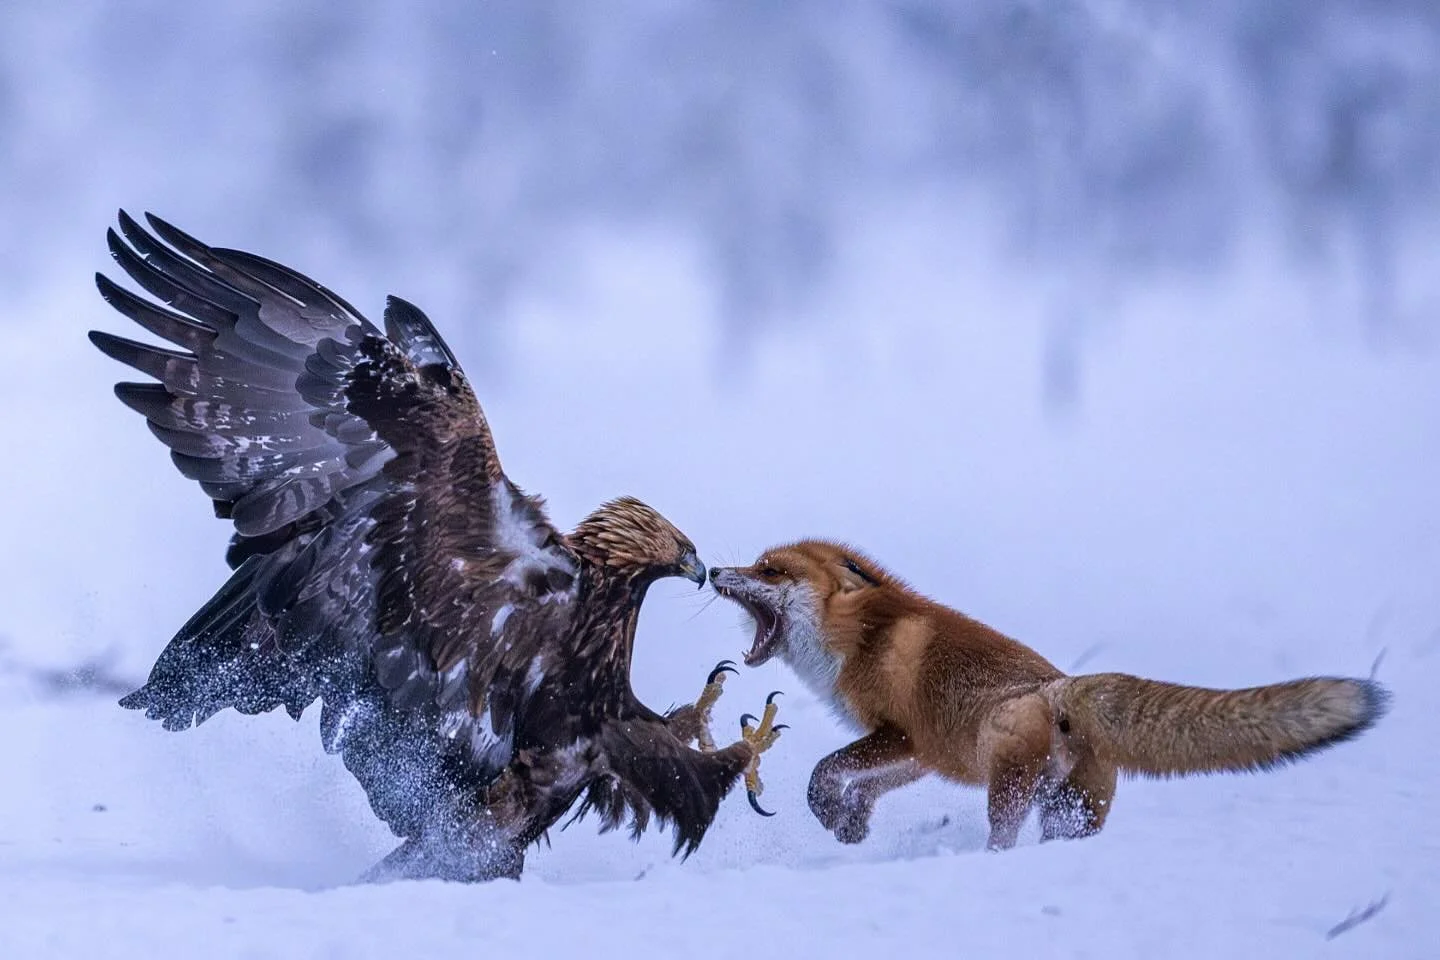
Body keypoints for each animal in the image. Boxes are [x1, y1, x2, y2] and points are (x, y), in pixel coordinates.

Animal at [708, 540, 1388, 850]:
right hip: (1066, 817)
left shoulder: (900, 733)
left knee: (1002, 841)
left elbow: (824, 773)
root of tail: (1063, 690)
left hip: (1005, 771)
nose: (713, 570)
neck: (860, 638)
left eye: (770, 571)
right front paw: (851, 824)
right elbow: (865, 788)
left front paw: (831, 813)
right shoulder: (928, 750)